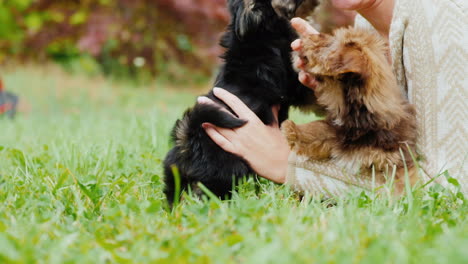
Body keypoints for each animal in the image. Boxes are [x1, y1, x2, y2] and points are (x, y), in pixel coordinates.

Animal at [284, 26, 418, 191]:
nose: (309, 37)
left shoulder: (396, 156)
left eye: (329, 45)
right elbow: (322, 129)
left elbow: (402, 178)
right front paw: (293, 130)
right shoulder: (338, 132)